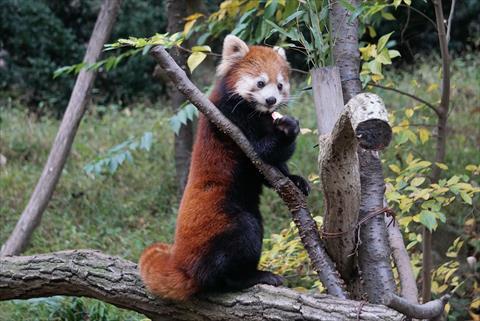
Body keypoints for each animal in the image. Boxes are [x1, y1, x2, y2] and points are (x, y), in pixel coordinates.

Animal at [141, 33, 310, 298]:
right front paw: (288, 127)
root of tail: (182, 264)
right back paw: (250, 277)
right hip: (225, 224)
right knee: (242, 240)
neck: (257, 113)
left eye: (280, 85)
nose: (271, 100)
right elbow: (263, 151)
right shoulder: (232, 119)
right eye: (260, 83)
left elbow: (270, 171)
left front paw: (296, 180)